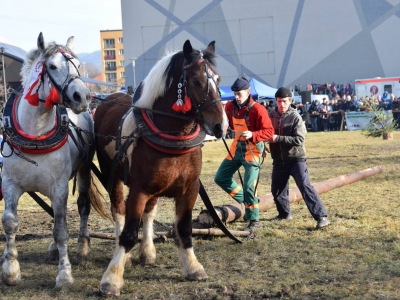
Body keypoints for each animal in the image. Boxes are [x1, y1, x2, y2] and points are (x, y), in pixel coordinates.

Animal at [0, 32, 107, 288]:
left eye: (78, 65)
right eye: (52, 66)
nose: (83, 96)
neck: (35, 135)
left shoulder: (59, 187)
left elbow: (61, 229)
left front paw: (65, 275)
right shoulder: (9, 184)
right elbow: (9, 222)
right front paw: (10, 269)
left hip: (84, 170)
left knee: (83, 207)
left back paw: (82, 250)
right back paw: (54, 249)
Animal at [92, 39, 227, 296]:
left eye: (218, 78)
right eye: (196, 81)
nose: (221, 126)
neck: (174, 135)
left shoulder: (189, 189)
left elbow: (183, 228)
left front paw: (192, 266)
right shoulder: (139, 190)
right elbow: (128, 232)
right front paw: (112, 278)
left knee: (149, 213)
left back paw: (147, 251)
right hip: (111, 174)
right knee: (118, 210)